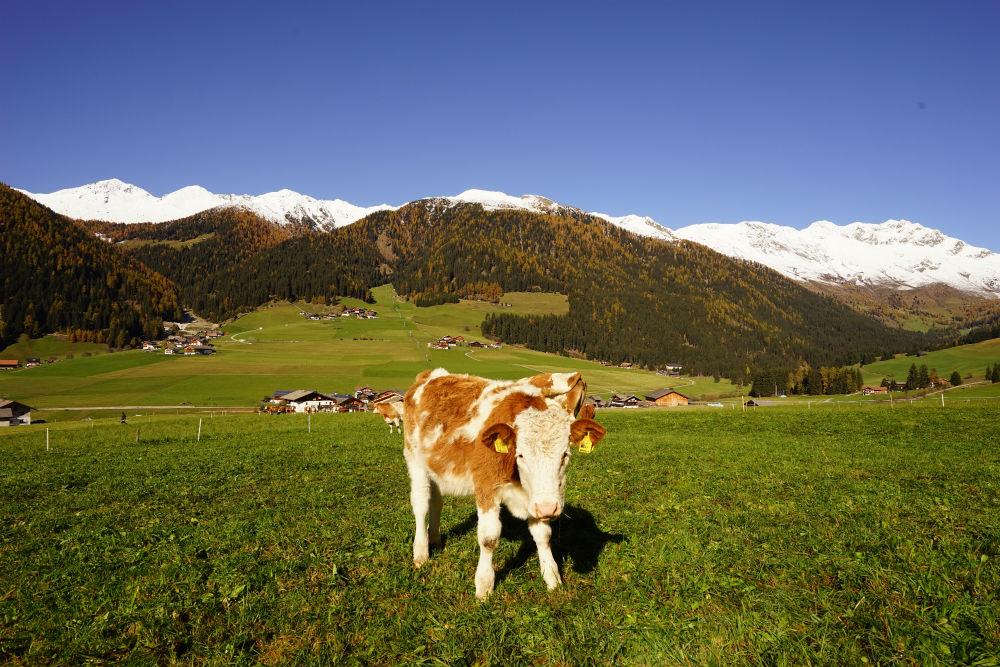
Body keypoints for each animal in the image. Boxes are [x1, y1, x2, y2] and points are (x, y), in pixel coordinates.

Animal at [402, 370, 604, 600]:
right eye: (521, 455)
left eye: (565, 455)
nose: (549, 508)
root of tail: (431, 375)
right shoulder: (486, 486)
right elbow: (489, 537)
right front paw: (484, 586)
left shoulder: (536, 498)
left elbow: (543, 535)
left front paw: (552, 577)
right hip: (415, 461)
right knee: (420, 506)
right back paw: (420, 552)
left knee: (436, 502)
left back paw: (434, 539)